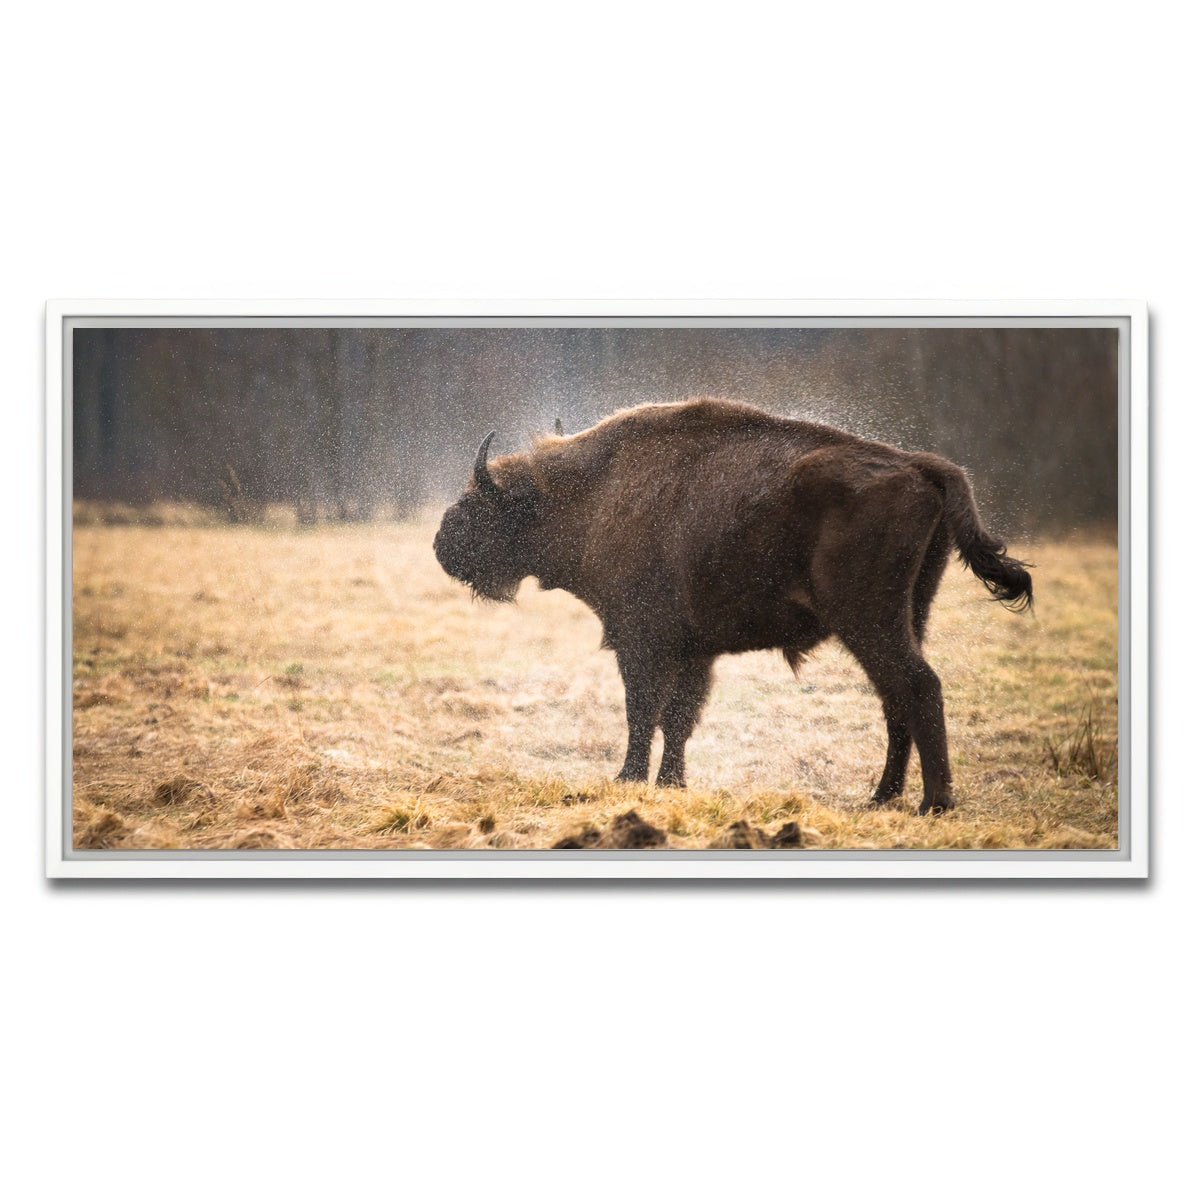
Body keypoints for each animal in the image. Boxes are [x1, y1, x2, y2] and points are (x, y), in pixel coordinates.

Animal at [433, 397, 1032, 815]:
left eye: (479, 502)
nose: (441, 543)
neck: (593, 490)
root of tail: (918, 465)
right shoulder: (694, 651)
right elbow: (679, 718)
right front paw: (671, 783)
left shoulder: (641, 641)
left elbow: (643, 711)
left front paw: (628, 780)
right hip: (910, 613)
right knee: (895, 698)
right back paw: (881, 797)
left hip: (867, 619)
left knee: (917, 686)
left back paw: (933, 803)